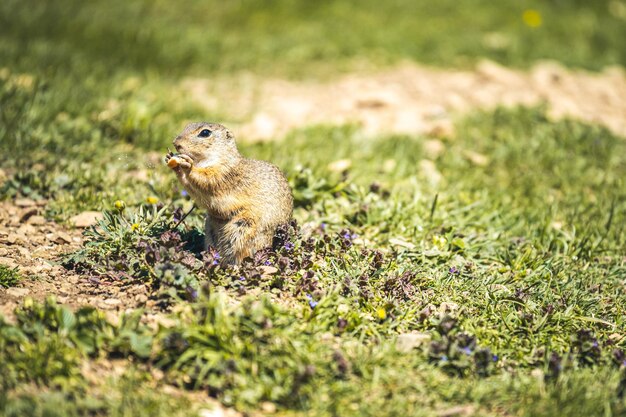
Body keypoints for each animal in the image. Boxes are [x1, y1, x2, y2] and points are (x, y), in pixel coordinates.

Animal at [166, 121, 292, 264]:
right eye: (188, 125)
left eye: (205, 133)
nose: (176, 143)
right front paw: (172, 160)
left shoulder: (222, 174)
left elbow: (204, 179)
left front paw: (188, 166)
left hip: (242, 229)